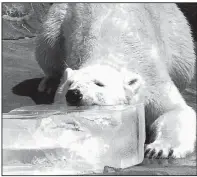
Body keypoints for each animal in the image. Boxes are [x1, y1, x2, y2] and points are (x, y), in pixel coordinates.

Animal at [35, 2, 197, 158]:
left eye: (99, 84)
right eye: (70, 84)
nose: (74, 94)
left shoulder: (152, 79)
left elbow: (173, 110)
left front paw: (158, 149)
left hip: (175, 30)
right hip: (60, 15)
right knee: (47, 45)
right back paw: (49, 82)